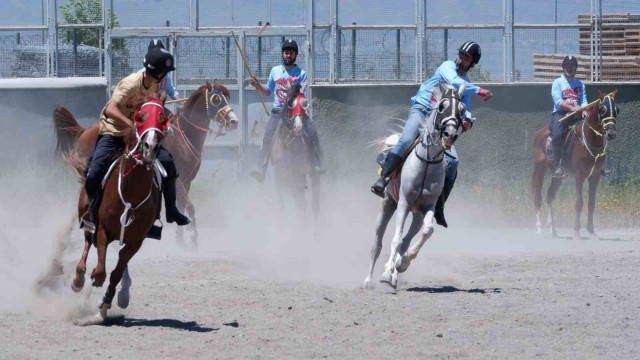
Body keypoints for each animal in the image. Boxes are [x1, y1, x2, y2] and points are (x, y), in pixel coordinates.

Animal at [53, 80, 239, 249]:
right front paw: (193, 239)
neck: (182, 138)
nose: (234, 121)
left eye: (227, 98)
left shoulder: (187, 181)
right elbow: (190, 206)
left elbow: (181, 206)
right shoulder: (177, 180)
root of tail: (84, 130)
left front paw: (181, 240)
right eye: (216, 99)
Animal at [69, 95, 171, 318]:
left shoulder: (136, 240)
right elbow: (100, 271)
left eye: (163, 118)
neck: (131, 191)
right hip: (86, 215)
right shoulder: (103, 230)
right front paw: (91, 279)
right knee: (87, 241)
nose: (150, 147)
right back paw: (78, 278)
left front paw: (106, 302)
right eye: (140, 117)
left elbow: (115, 272)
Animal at [270, 83, 320, 218]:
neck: (289, 145)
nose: (298, 127)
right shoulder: (279, 176)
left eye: (305, 103)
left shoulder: (299, 174)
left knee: (313, 202)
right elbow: (282, 203)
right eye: (290, 102)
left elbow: (301, 204)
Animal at [364, 82, 464, 290]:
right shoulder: (403, 203)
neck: (426, 164)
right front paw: (386, 274)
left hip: (416, 216)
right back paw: (369, 280)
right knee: (377, 243)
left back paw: (395, 271)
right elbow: (395, 239)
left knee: (406, 240)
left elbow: (427, 231)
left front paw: (401, 264)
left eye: (462, 110)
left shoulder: (428, 207)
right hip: (387, 205)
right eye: (441, 106)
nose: (449, 134)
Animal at [528, 91, 620, 240]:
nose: (611, 133)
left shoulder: (595, 177)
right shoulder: (579, 176)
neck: (589, 138)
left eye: (617, 110)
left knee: (550, 195)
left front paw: (591, 232)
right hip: (539, 168)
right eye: (602, 109)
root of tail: (539, 133)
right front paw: (576, 232)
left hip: (558, 176)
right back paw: (539, 228)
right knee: (538, 196)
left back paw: (553, 230)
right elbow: (579, 203)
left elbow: (591, 204)